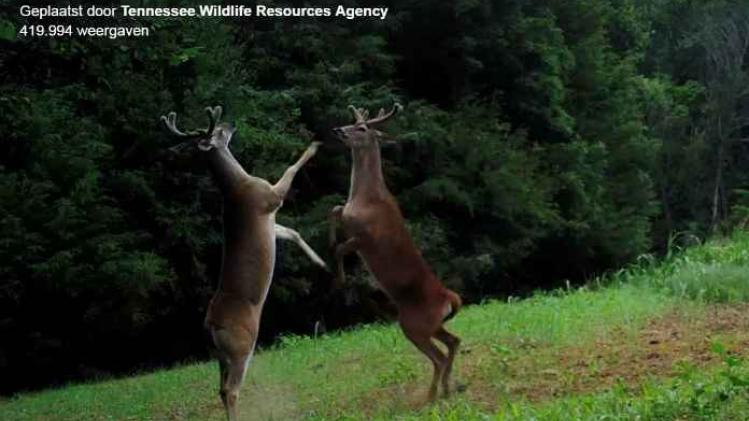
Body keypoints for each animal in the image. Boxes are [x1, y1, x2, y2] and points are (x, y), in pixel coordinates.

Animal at [161, 106, 324, 420]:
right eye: (217, 131)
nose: (230, 122)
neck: (240, 183)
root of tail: (210, 327)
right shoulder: (269, 197)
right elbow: (290, 170)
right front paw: (314, 145)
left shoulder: (272, 221)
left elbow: (293, 233)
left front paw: (322, 262)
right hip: (241, 346)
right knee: (231, 390)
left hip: (220, 356)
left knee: (220, 389)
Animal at [332, 101, 462, 400]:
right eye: (351, 121)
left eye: (362, 128)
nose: (337, 130)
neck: (363, 197)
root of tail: (449, 298)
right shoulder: (347, 217)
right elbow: (334, 210)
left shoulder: (364, 236)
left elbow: (340, 246)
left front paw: (339, 280)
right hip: (432, 324)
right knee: (454, 342)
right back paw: (448, 388)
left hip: (413, 324)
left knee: (439, 355)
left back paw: (431, 395)